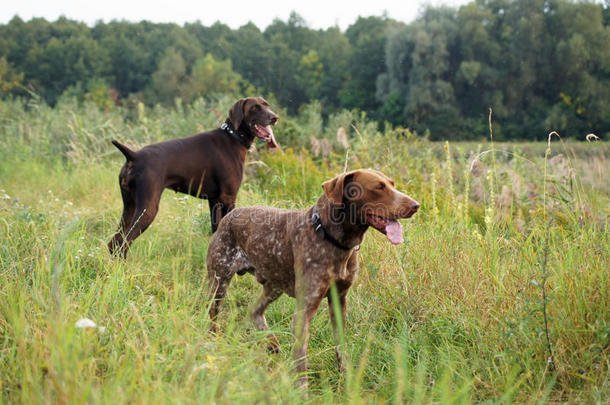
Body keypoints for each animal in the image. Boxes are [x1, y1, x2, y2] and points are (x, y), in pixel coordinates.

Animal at [108, 96, 278, 258]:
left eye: (267, 105)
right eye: (254, 108)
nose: (275, 117)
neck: (233, 137)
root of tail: (134, 156)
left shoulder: (215, 201)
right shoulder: (228, 199)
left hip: (130, 206)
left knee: (114, 243)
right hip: (147, 208)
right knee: (124, 242)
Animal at [205, 166, 418, 386]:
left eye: (392, 184)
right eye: (378, 187)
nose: (415, 205)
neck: (332, 239)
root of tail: (229, 217)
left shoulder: (339, 301)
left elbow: (341, 346)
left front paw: (346, 378)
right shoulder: (305, 308)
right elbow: (301, 360)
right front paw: (301, 389)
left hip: (274, 287)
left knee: (254, 310)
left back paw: (272, 342)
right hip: (219, 283)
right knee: (214, 315)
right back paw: (215, 342)